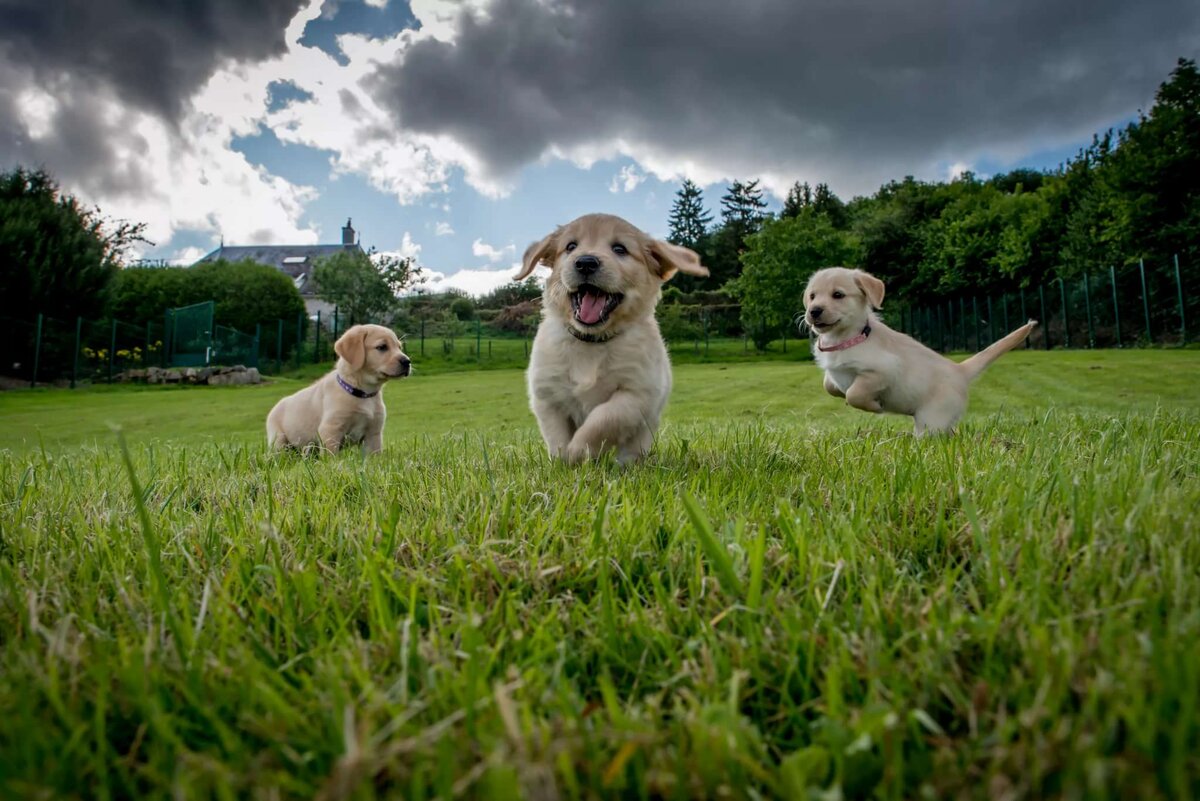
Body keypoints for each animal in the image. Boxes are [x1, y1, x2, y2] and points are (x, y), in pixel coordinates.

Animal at [265, 321, 410, 453]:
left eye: (399, 347)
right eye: (382, 347)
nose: (407, 361)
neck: (363, 393)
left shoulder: (374, 433)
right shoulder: (330, 430)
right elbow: (331, 457)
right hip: (279, 440)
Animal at [518, 212, 705, 462]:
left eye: (620, 249)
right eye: (571, 246)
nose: (585, 262)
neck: (592, 341)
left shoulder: (638, 393)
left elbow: (603, 419)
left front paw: (578, 451)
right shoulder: (547, 395)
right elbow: (557, 437)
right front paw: (563, 460)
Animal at [806, 267, 1041, 431]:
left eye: (838, 295)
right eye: (811, 296)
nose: (814, 311)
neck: (847, 337)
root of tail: (960, 370)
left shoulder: (884, 371)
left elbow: (854, 393)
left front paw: (874, 406)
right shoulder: (836, 373)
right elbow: (829, 384)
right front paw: (838, 389)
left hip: (931, 420)